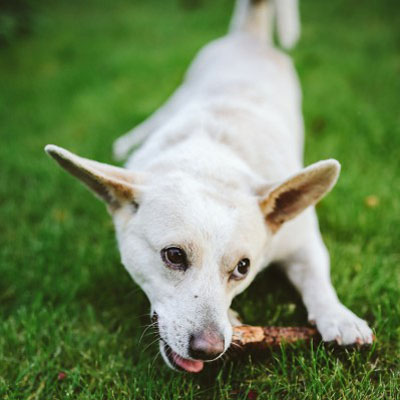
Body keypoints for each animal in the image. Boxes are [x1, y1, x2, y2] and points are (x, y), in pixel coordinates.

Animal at [45, 0, 374, 372]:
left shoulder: (301, 239)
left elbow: (318, 278)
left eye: (243, 267)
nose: (209, 348)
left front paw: (339, 315)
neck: (210, 158)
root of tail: (249, 38)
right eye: (174, 255)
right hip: (182, 90)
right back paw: (126, 141)